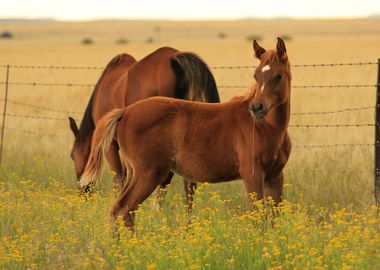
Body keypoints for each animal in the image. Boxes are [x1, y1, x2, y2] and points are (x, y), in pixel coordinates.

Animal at [68, 47, 220, 202]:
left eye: (73, 156)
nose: (82, 191)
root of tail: (174, 59)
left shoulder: (110, 145)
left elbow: (119, 179)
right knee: (188, 183)